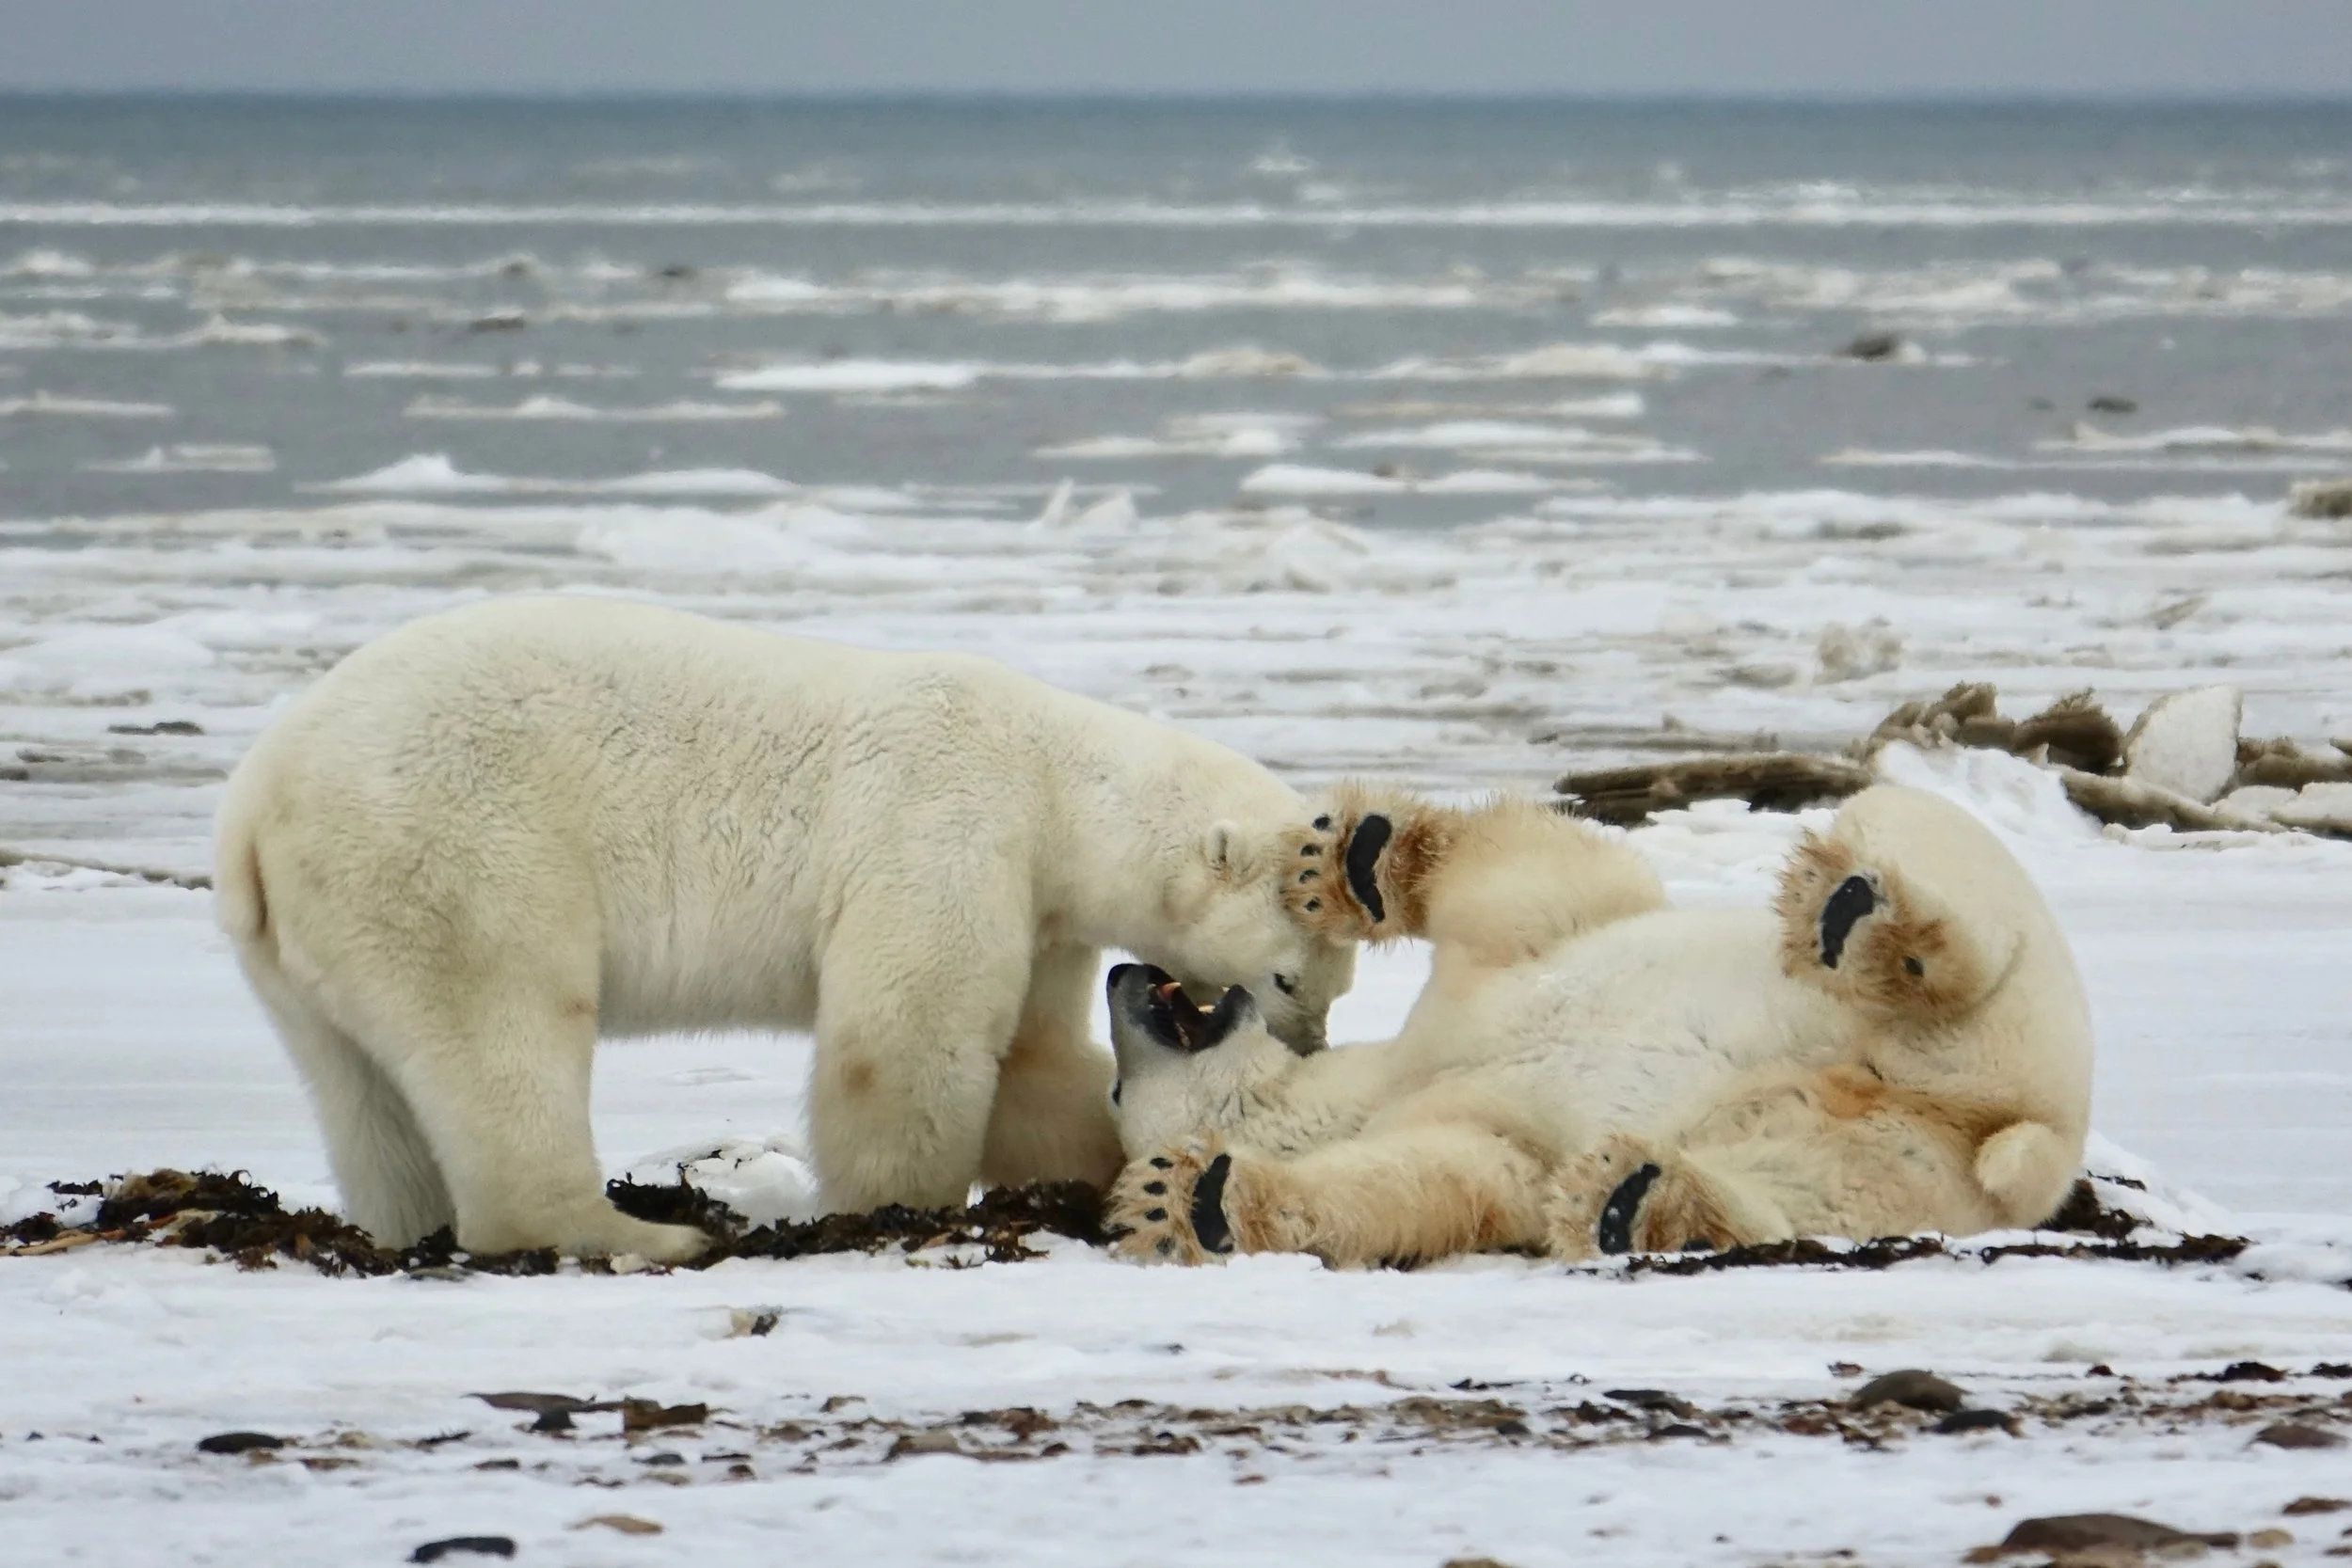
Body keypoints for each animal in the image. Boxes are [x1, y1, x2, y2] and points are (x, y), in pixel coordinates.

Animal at [213, 595, 1359, 1263]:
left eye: (1332, 982)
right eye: (1292, 977)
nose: (1309, 1047)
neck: (1055, 778)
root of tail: (255, 805)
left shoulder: (1037, 906)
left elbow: (1035, 1060)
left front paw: (1089, 1171)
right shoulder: (945, 824)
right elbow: (903, 1037)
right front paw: (902, 1206)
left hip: (313, 936)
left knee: (363, 1088)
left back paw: (414, 1223)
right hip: (451, 852)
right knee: (505, 1028)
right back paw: (643, 1229)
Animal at [1101, 783, 2092, 1268]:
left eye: (1111, 1081)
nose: (1120, 971)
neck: (1394, 1073)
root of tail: (2024, 1129)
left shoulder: (1486, 975)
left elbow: (1530, 881)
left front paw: (1347, 858)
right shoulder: (1475, 1121)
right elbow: (1426, 1184)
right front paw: (1186, 1199)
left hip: (1990, 984)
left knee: (1919, 853)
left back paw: (1853, 916)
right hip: (1893, 1160)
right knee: (1782, 1191)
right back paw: (1631, 1200)